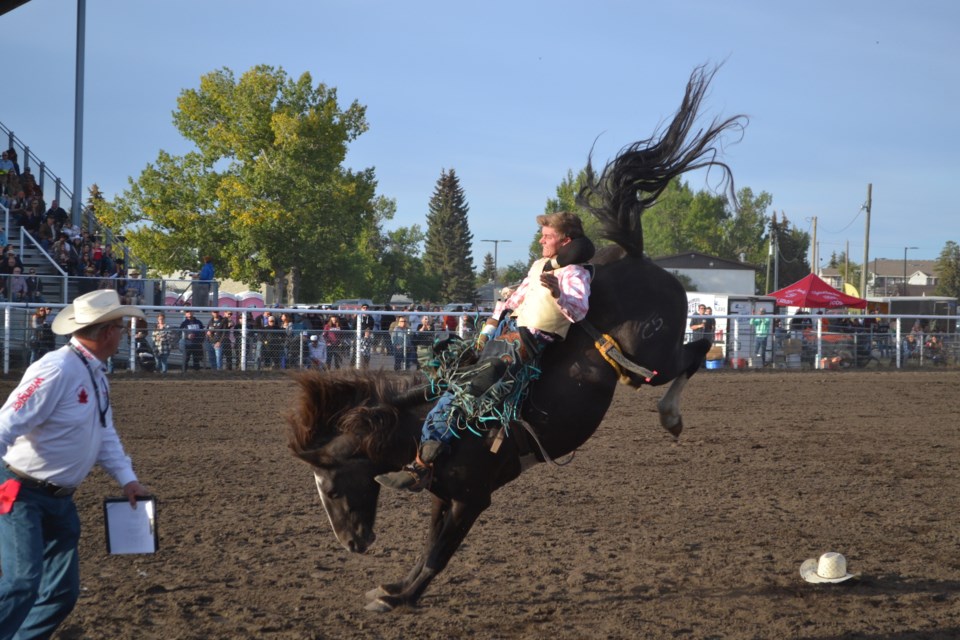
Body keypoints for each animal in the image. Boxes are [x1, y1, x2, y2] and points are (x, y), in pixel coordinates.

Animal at [288, 63, 748, 608]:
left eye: (333, 489)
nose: (354, 544)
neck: (424, 430)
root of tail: (634, 255)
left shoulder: (472, 499)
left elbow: (438, 553)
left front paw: (400, 596)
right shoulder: (445, 497)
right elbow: (428, 548)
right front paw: (398, 590)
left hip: (652, 354)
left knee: (695, 353)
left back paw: (671, 416)